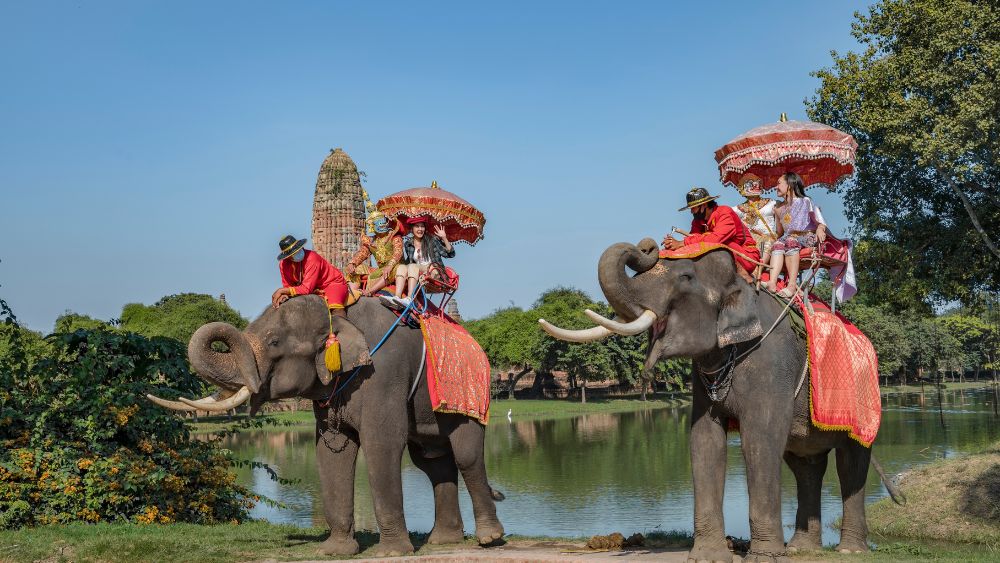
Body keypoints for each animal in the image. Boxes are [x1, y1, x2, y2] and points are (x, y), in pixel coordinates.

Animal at [148, 294, 504, 557]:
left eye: (274, 342)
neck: (340, 314)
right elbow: (331, 450)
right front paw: (335, 551)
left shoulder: (383, 374)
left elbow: (382, 443)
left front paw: (391, 553)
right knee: (433, 462)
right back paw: (444, 541)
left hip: (471, 394)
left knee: (466, 455)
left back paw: (488, 538)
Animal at [540, 239, 901, 562]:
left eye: (685, 278)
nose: (646, 247)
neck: (739, 283)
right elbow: (704, 440)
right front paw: (708, 557)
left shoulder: (771, 362)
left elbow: (759, 440)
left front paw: (764, 557)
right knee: (805, 464)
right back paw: (801, 549)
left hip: (865, 401)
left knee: (851, 462)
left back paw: (850, 550)